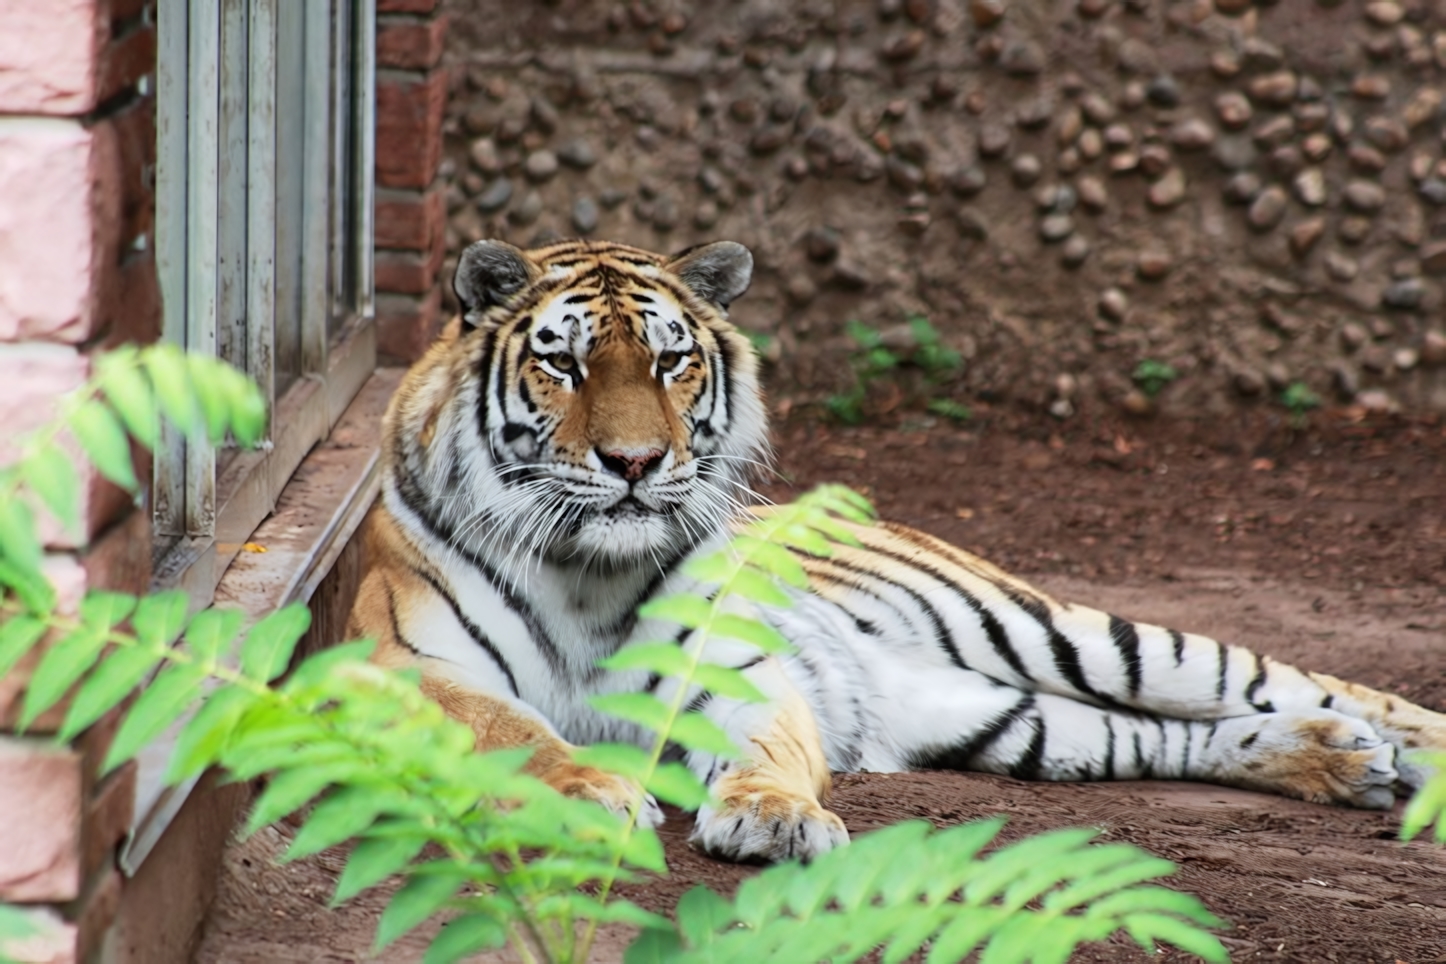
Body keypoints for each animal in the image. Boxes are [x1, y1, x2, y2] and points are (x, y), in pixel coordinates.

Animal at [347, 237, 1446, 861]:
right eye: (565, 365)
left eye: (669, 361)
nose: (634, 461)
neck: (586, 566)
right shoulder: (408, 671)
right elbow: (515, 733)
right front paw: (592, 792)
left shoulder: (734, 669)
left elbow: (763, 747)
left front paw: (775, 817)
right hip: (1003, 720)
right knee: (1160, 735)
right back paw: (1337, 758)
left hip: (1051, 630)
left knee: (1289, 681)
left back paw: (1391, 751)